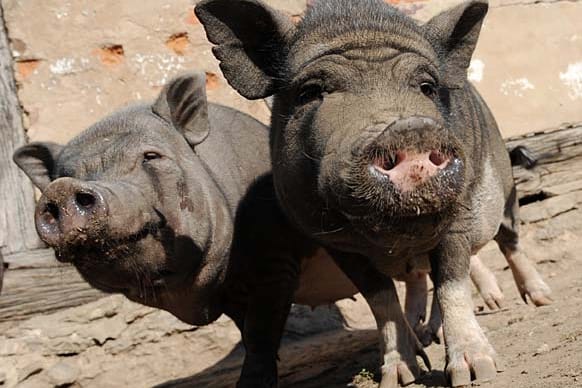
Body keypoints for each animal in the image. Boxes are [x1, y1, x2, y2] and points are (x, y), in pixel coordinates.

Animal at [197, 0, 556, 384]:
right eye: (309, 91)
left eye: (427, 87)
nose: (408, 128)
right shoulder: (334, 242)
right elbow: (381, 299)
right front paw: (399, 377)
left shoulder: (457, 218)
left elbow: (451, 282)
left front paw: (477, 372)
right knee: (418, 280)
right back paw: (424, 334)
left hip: (506, 191)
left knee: (509, 242)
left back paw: (537, 300)